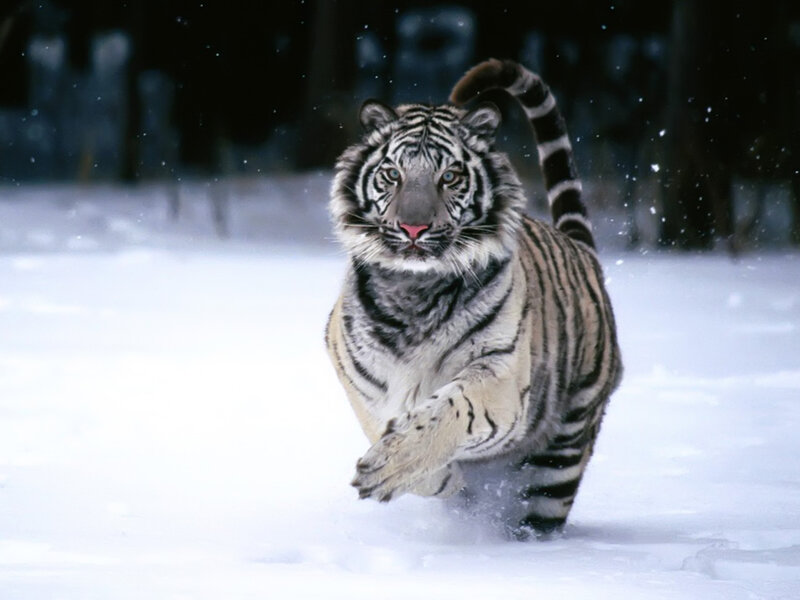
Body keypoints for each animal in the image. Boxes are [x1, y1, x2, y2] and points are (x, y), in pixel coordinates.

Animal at [325, 58, 622, 539]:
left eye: (449, 176)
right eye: (393, 174)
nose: (413, 228)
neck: (414, 290)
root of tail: (583, 252)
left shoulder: (501, 372)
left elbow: (448, 411)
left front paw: (390, 466)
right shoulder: (361, 380)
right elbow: (387, 427)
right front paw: (439, 480)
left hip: (562, 453)